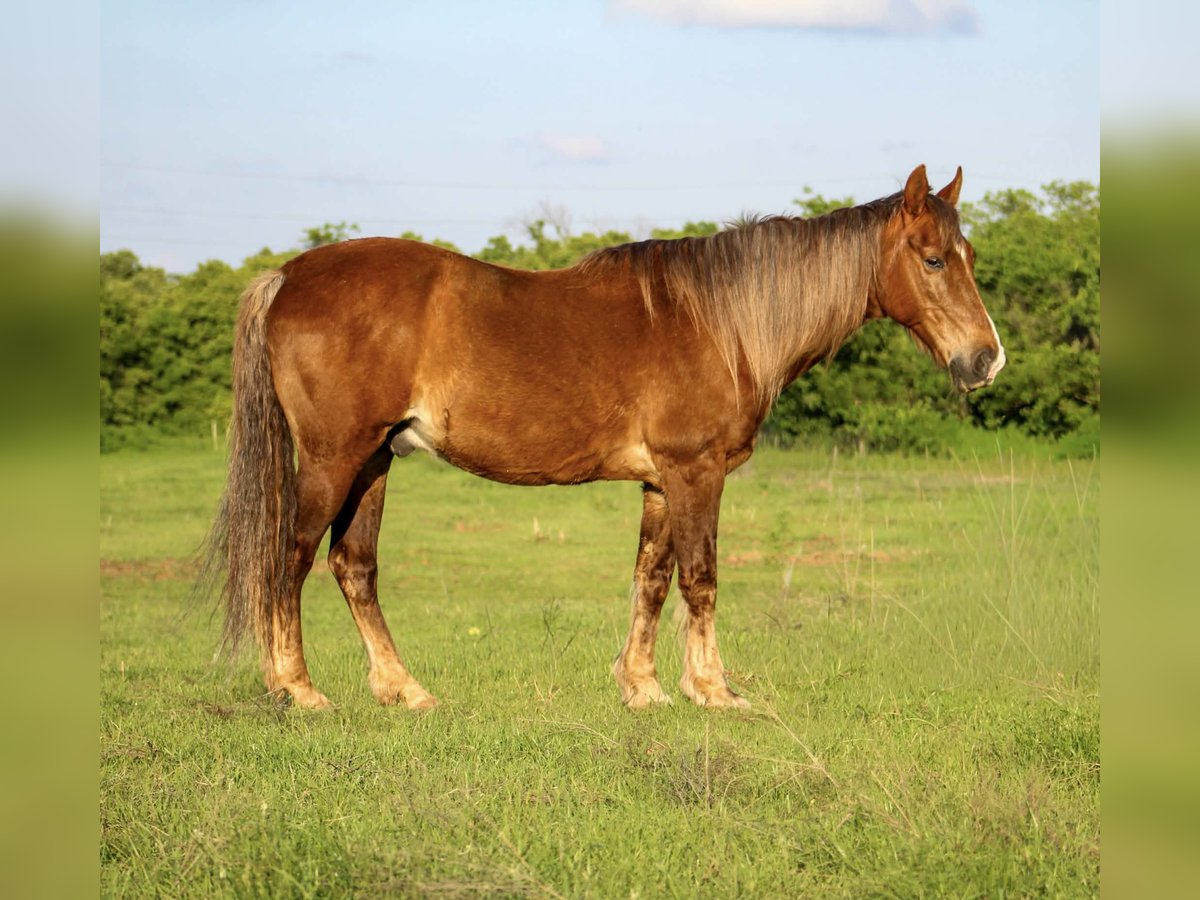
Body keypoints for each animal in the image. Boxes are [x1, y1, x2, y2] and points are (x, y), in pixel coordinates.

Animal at [203, 164, 1005, 711]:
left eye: (967, 256)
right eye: (933, 259)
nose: (985, 360)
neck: (721, 322)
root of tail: (288, 276)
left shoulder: (659, 481)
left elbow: (651, 578)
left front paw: (644, 688)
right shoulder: (695, 473)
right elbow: (702, 578)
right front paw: (714, 690)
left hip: (374, 460)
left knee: (354, 567)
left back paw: (404, 689)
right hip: (333, 458)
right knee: (290, 557)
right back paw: (298, 689)